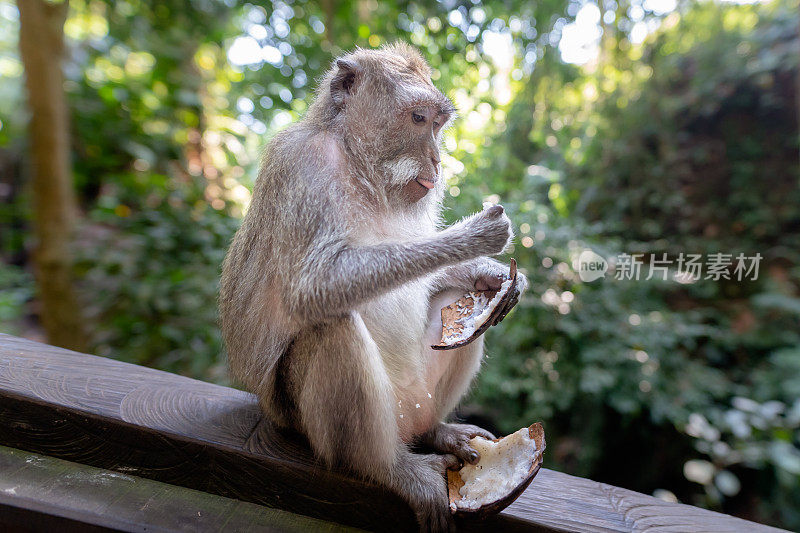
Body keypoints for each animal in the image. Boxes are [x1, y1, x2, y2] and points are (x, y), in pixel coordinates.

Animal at [222, 43, 528, 528]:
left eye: (438, 123)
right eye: (418, 118)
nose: (438, 161)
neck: (358, 164)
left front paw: (489, 273)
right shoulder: (303, 164)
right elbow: (314, 287)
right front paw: (473, 237)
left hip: (417, 396)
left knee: (457, 312)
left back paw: (437, 432)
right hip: (315, 424)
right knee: (331, 326)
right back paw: (390, 469)